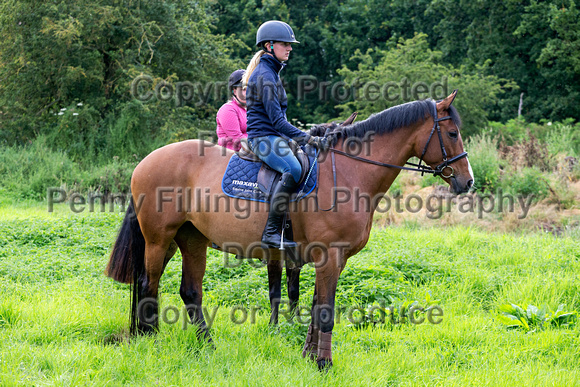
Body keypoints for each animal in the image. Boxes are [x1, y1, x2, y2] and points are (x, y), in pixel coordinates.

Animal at [106, 91, 474, 370]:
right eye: (452, 134)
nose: (467, 182)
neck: (351, 173)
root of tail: (144, 162)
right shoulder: (328, 257)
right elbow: (324, 311)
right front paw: (323, 364)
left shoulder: (330, 259)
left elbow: (313, 306)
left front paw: (310, 356)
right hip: (158, 239)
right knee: (148, 284)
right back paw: (151, 338)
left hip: (191, 239)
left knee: (189, 291)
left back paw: (206, 346)